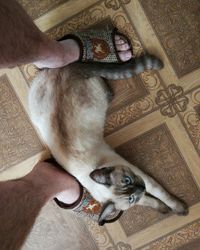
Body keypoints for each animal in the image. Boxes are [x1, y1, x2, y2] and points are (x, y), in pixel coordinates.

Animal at [28, 54, 189, 225]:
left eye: (127, 180)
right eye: (131, 198)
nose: (141, 188)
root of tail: (66, 70)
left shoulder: (145, 179)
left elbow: (163, 195)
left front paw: (181, 209)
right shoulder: (141, 194)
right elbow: (152, 201)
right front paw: (164, 209)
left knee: (104, 83)